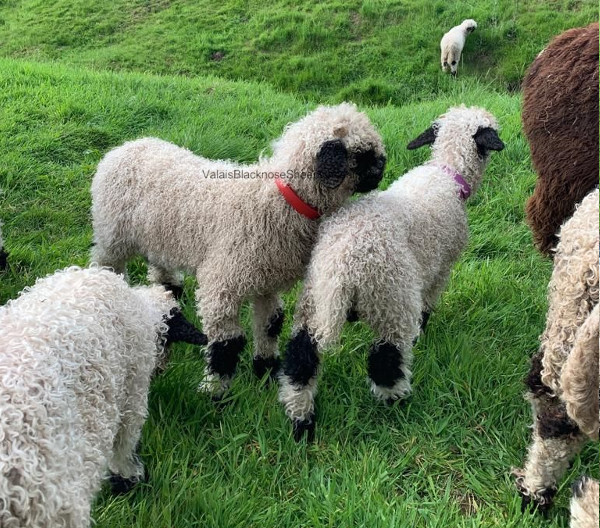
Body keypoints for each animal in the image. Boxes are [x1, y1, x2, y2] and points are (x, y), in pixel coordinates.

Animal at [0, 268, 205, 528]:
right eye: (167, 342)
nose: (161, 369)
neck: (142, 308)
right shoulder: (134, 389)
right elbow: (125, 443)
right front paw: (131, 477)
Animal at [91, 104, 386, 400]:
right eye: (363, 155)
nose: (383, 166)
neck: (279, 202)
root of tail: (126, 146)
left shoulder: (267, 282)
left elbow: (271, 326)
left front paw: (266, 373)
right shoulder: (222, 285)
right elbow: (228, 342)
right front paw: (215, 391)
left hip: (158, 234)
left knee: (160, 263)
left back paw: (171, 289)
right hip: (112, 235)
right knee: (105, 262)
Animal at [278, 105, 504, 440]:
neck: (446, 174)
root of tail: (343, 263)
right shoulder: (441, 268)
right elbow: (428, 305)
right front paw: (422, 334)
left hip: (314, 300)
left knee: (300, 360)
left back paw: (301, 423)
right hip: (391, 299)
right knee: (386, 359)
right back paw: (397, 405)